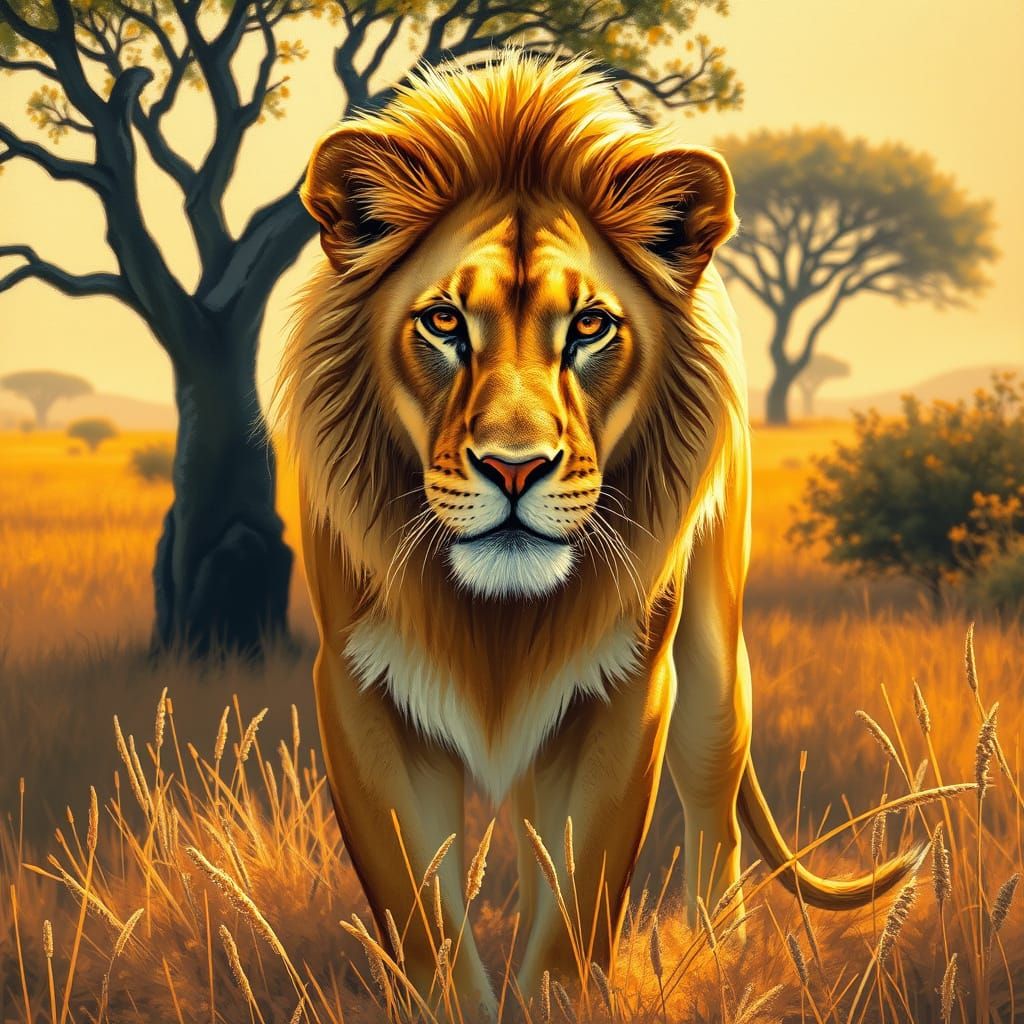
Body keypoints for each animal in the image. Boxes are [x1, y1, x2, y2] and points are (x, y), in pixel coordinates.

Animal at [275, 51, 921, 1014]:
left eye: (588, 327)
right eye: (444, 322)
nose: (514, 469)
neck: (497, 621)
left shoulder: (625, 689)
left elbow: (576, 903)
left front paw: (558, 1001)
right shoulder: (361, 690)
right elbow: (423, 910)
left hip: (714, 664)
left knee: (712, 801)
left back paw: (723, 955)